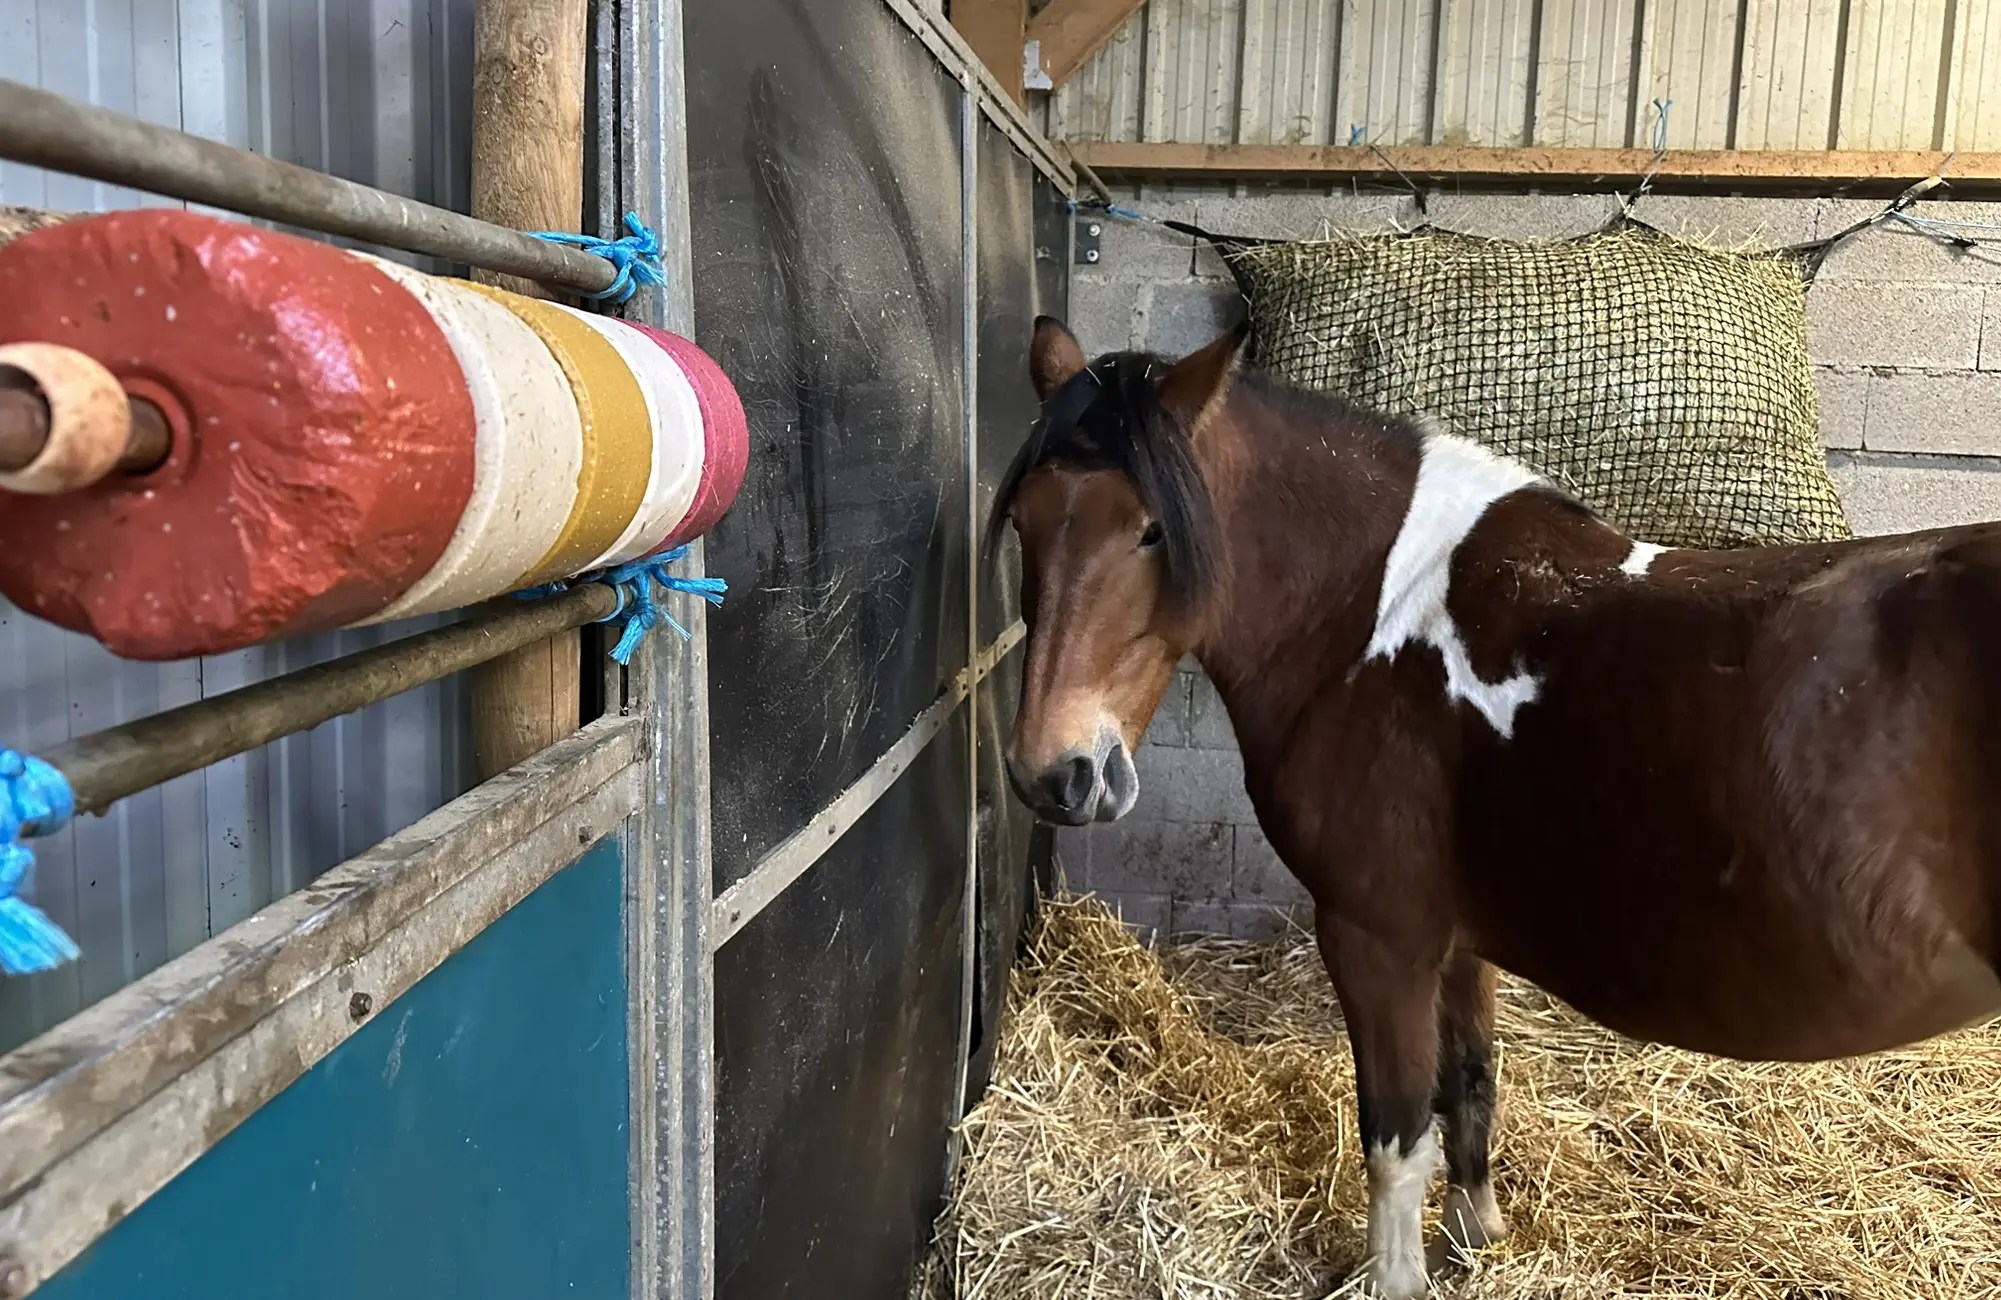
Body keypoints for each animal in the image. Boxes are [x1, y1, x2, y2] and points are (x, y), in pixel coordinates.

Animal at [990, 315, 2001, 1298]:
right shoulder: (1456, 937)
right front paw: (1474, 1237)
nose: (1056, 772)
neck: (1379, 613)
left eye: (1151, 531)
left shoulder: (1376, 938)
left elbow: (1396, 1137)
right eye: (1027, 521)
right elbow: (1468, 1081)